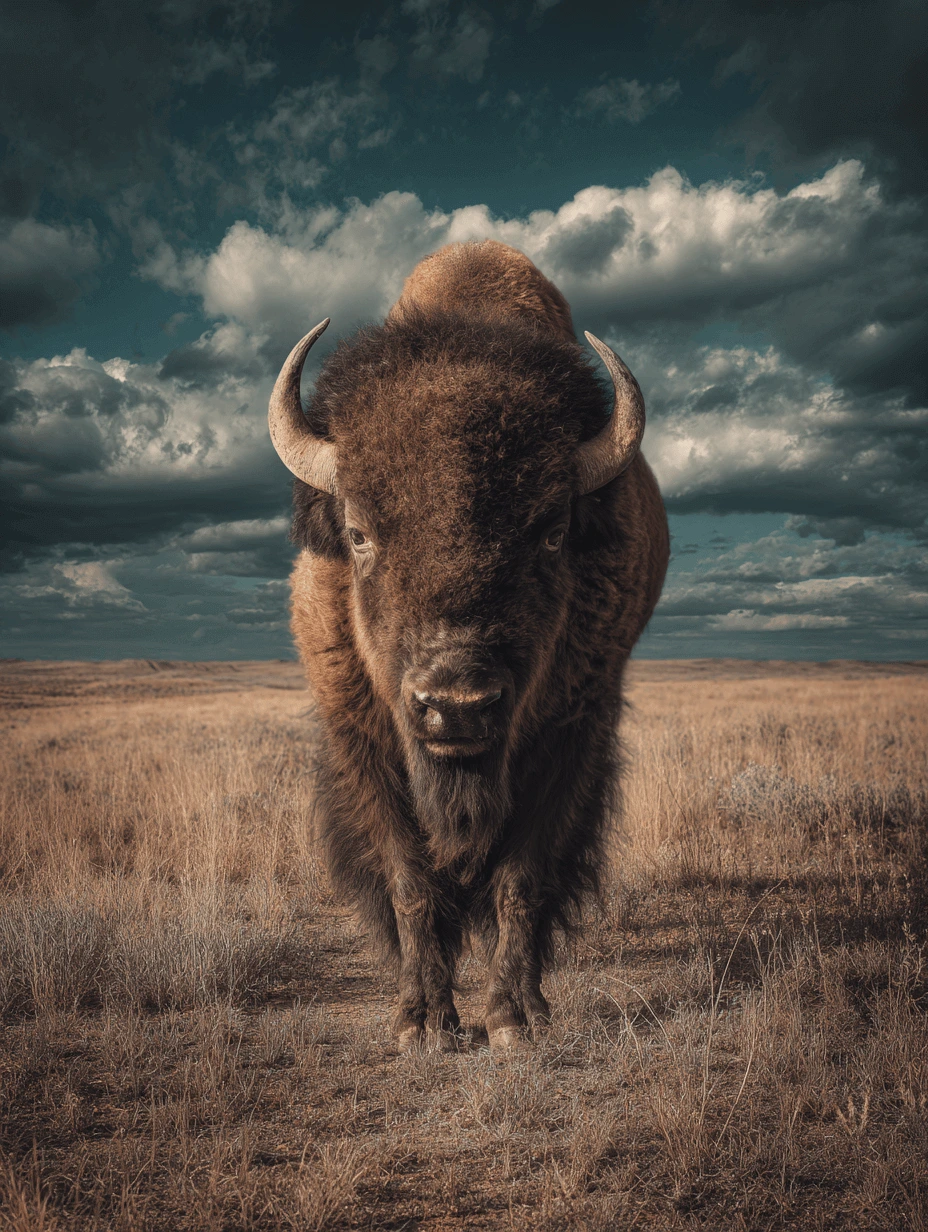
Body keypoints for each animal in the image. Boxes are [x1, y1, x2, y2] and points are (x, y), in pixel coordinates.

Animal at [269, 240, 669, 1051]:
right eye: (359, 533)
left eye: (552, 533)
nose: (455, 706)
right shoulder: (367, 742)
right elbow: (410, 882)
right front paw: (423, 1021)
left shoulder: (572, 738)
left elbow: (523, 876)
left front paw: (514, 1019)